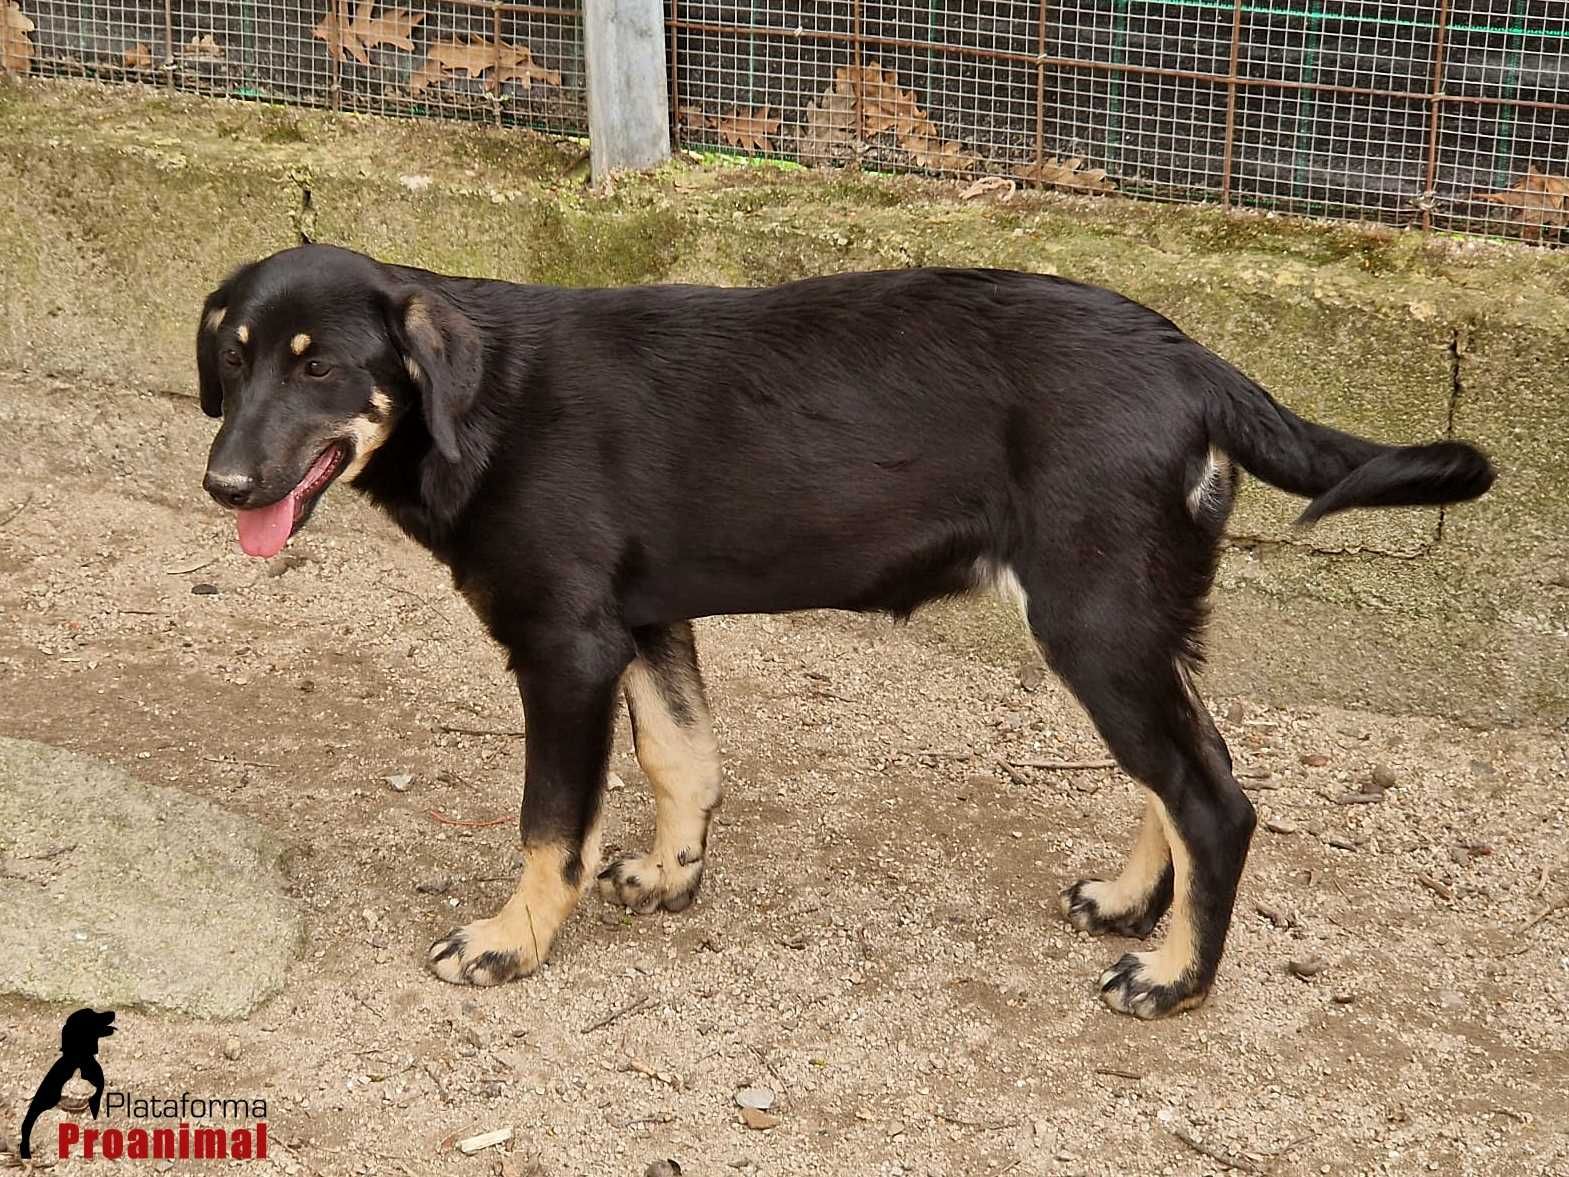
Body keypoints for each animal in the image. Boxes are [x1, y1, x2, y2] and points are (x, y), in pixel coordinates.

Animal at [196, 249, 1493, 1023]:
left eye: (324, 369)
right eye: (237, 358)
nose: (223, 485)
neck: (482, 403)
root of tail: (1195, 360)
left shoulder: (564, 645)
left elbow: (549, 824)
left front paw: (510, 941)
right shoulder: (641, 617)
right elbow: (682, 755)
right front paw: (673, 872)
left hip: (1094, 615)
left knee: (1213, 795)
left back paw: (1175, 974)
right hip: (1135, 613)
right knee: (1184, 771)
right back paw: (1135, 904)